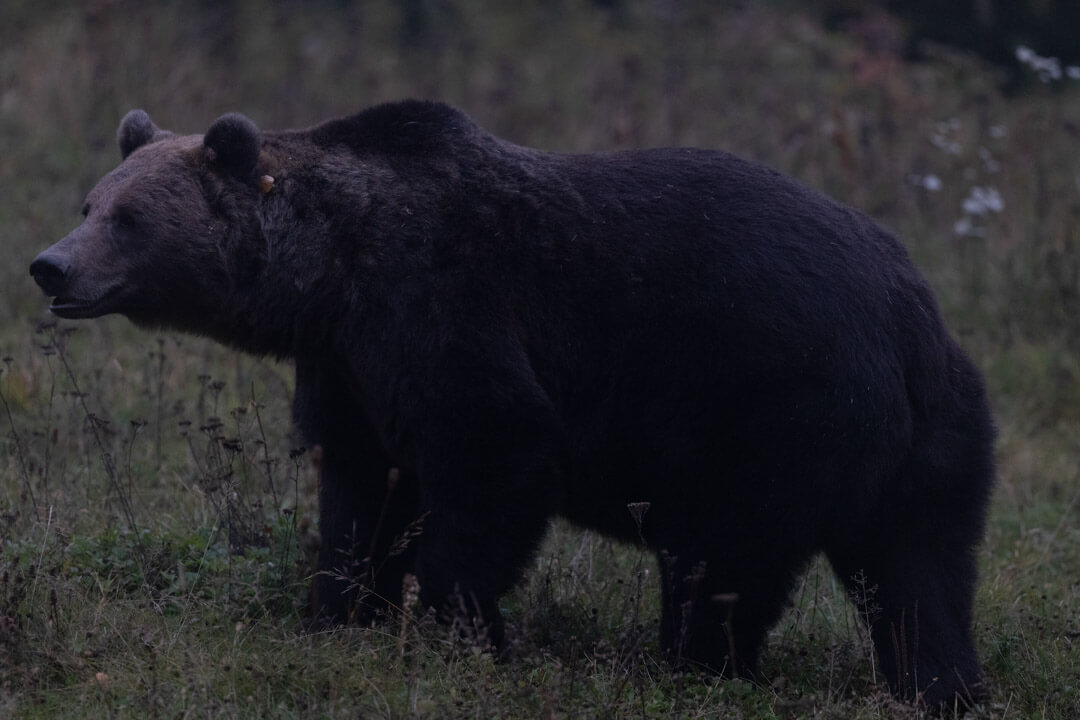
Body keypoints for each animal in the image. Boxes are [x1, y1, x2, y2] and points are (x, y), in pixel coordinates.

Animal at [30, 101, 995, 709]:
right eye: (91, 201)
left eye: (128, 218)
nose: (50, 265)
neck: (330, 271)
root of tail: (909, 316)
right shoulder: (348, 366)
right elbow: (362, 493)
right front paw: (339, 611)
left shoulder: (444, 308)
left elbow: (491, 463)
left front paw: (450, 626)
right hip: (936, 434)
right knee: (922, 567)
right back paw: (937, 684)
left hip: (769, 403)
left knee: (722, 560)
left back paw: (693, 663)